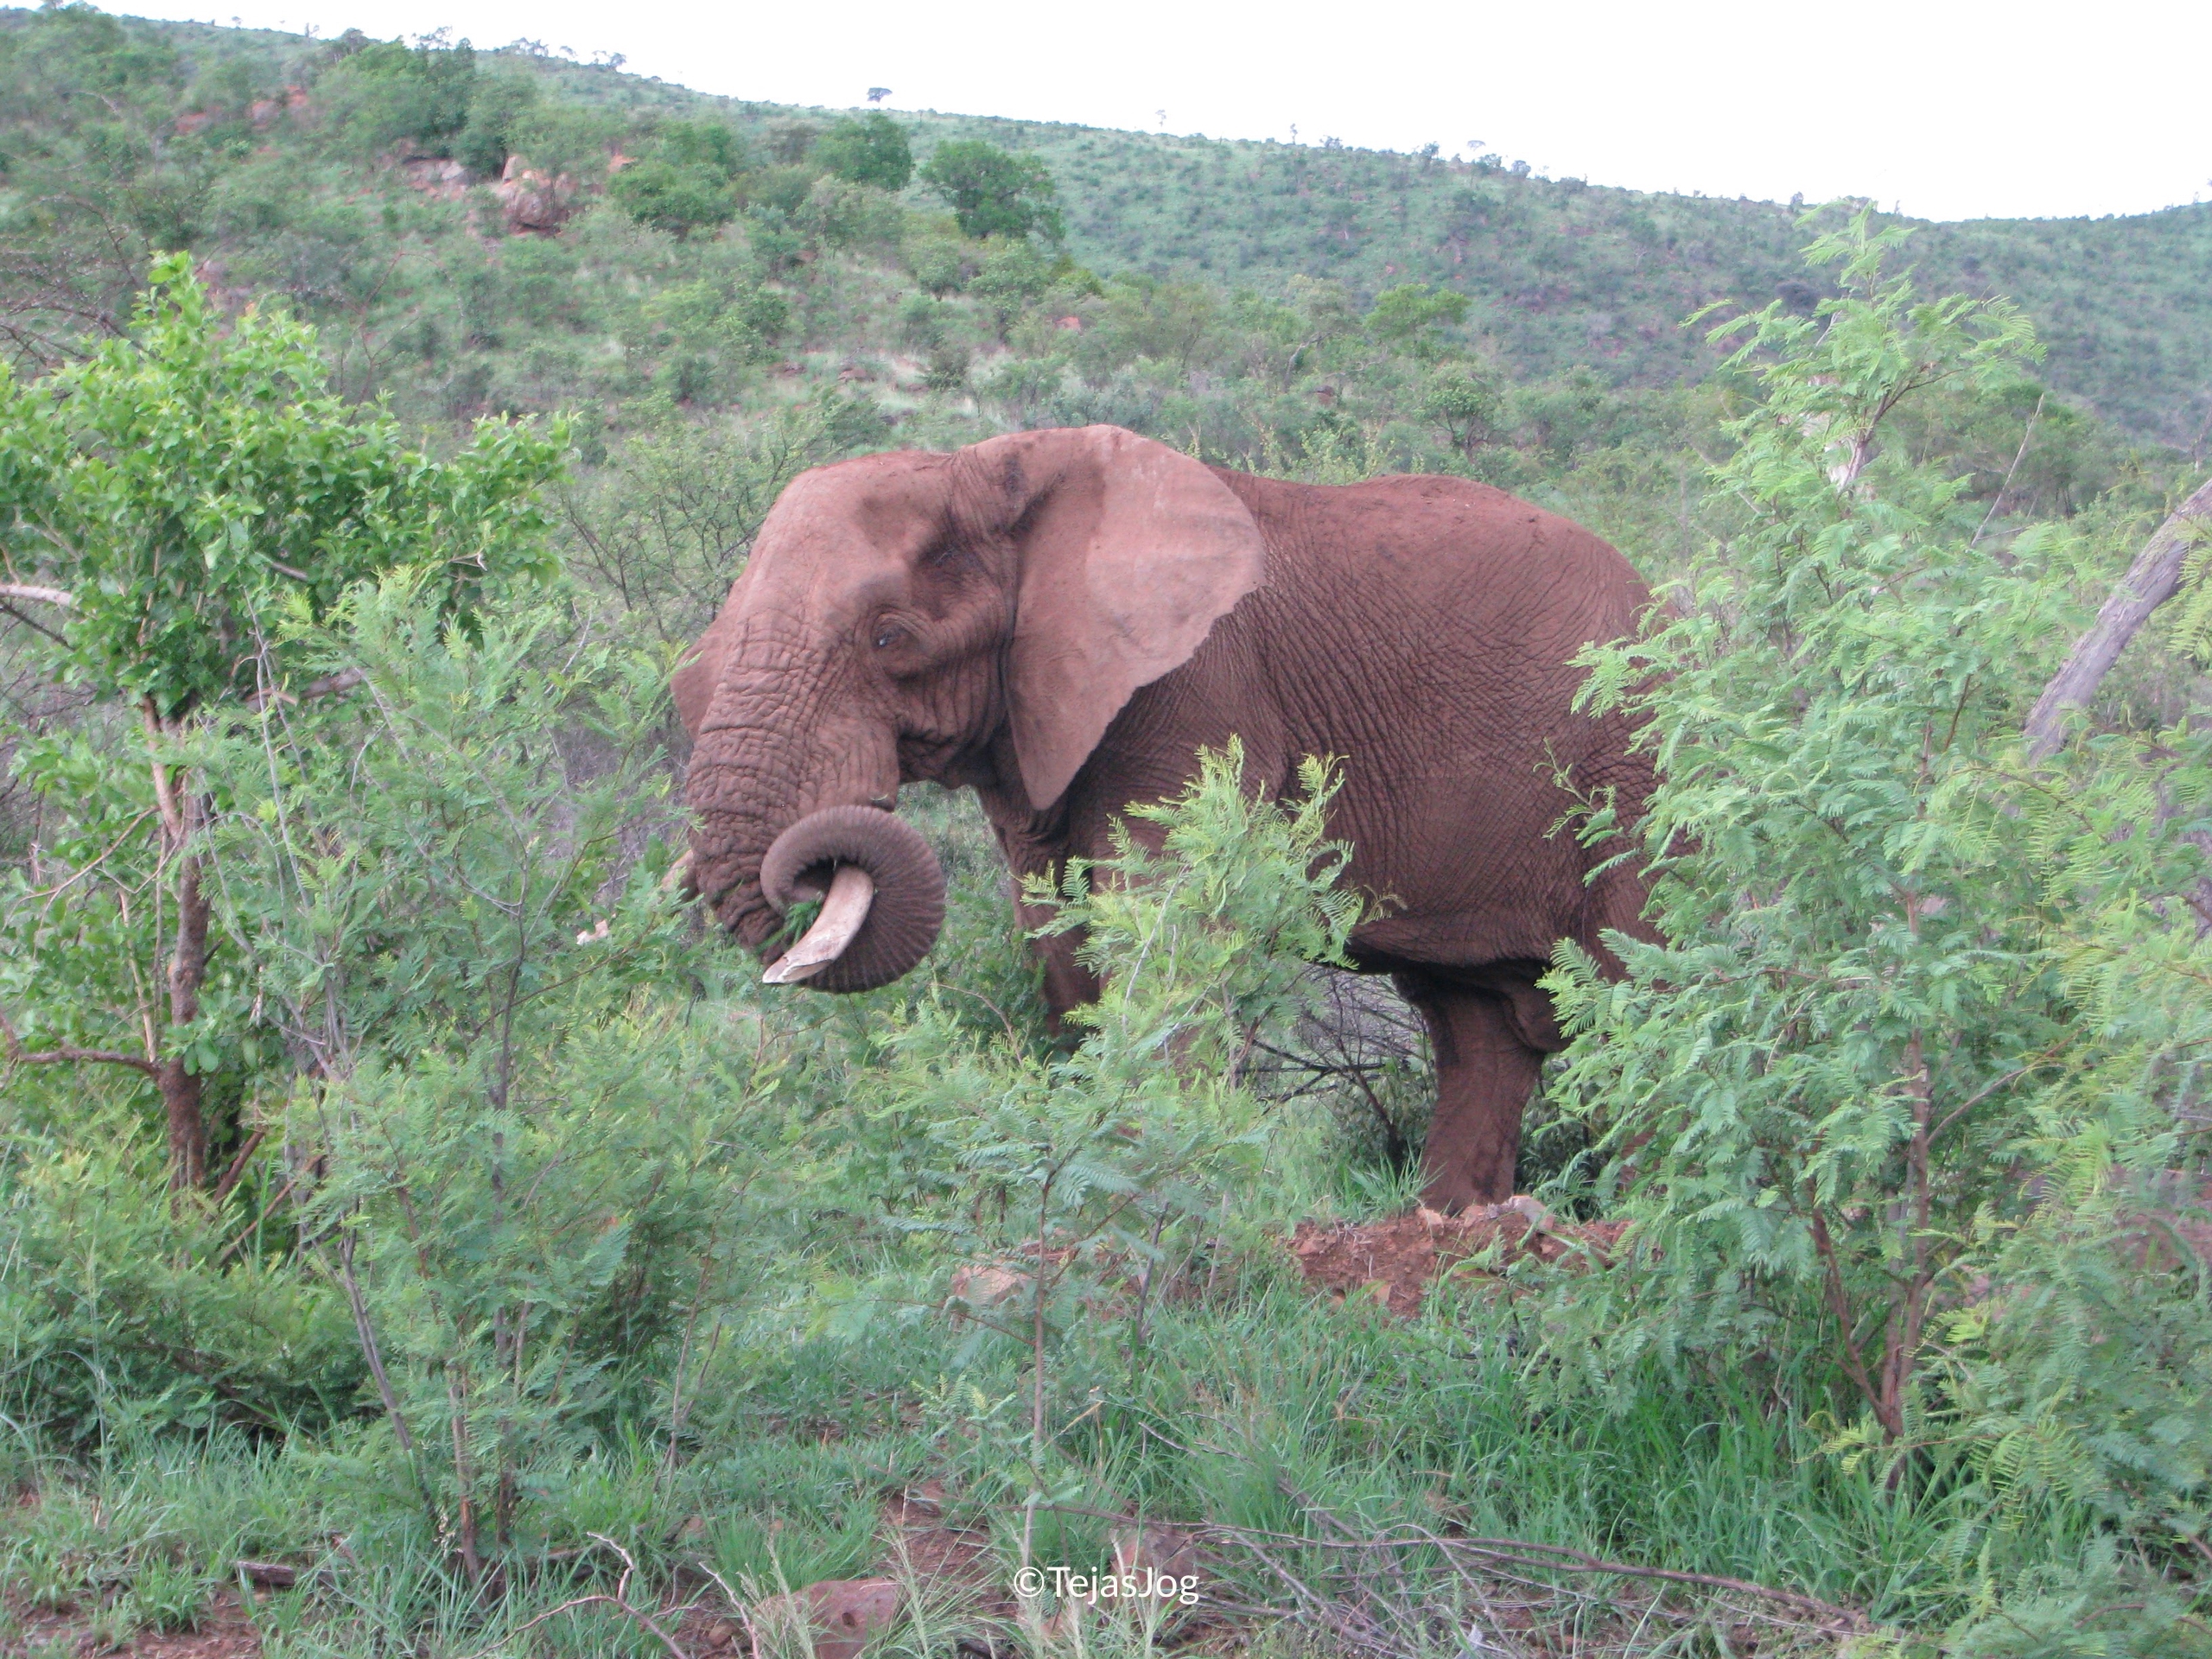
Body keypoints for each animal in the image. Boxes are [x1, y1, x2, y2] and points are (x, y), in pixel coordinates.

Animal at [674, 424, 1656, 1210]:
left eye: (889, 637)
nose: (806, 870)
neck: (992, 464)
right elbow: (1067, 944)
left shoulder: (1198, 685)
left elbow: (1164, 926)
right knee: (1479, 1031)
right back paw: (1457, 1224)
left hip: (1633, 780)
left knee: (1639, 997)